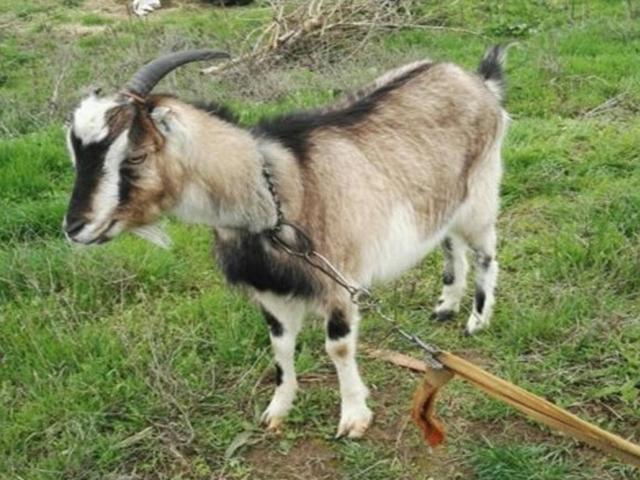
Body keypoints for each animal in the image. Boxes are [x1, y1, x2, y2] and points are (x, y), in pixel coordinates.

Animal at [64, 47, 508, 438]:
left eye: (135, 157)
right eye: (76, 156)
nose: (74, 228)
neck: (275, 195)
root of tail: (479, 82)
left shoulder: (339, 284)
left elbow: (338, 349)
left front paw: (354, 417)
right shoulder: (271, 291)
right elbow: (280, 347)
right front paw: (277, 410)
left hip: (480, 194)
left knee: (485, 252)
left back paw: (476, 320)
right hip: (444, 201)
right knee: (451, 245)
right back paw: (446, 307)